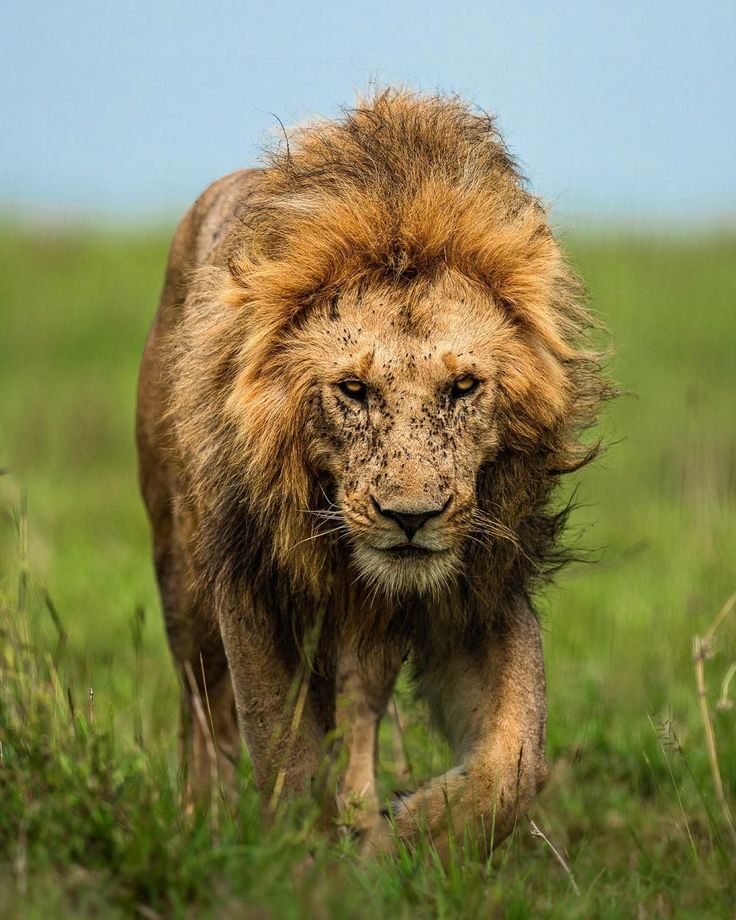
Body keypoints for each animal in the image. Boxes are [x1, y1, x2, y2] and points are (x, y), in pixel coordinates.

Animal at [137, 90, 608, 860]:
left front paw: (394, 838)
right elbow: (284, 748)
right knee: (202, 705)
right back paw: (198, 821)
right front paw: (307, 859)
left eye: (463, 387)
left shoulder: (480, 582)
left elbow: (513, 761)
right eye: (353, 391)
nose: (410, 518)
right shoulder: (250, 582)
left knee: (355, 707)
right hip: (181, 571)